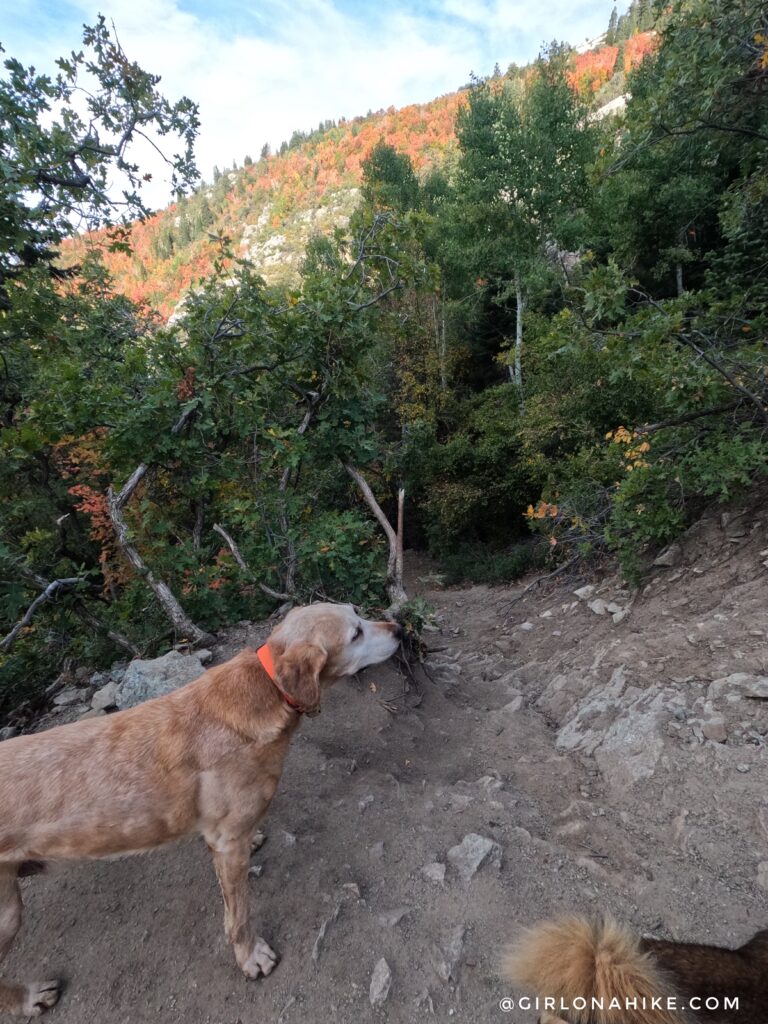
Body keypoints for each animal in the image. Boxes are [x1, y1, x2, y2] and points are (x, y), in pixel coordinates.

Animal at [0, 602, 399, 1011]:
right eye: (355, 634)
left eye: (358, 613)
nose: (399, 629)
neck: (268, 687)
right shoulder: (229, 847)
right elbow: (238, 917)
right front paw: (250, 957)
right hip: (7, 914)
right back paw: (28, 998)